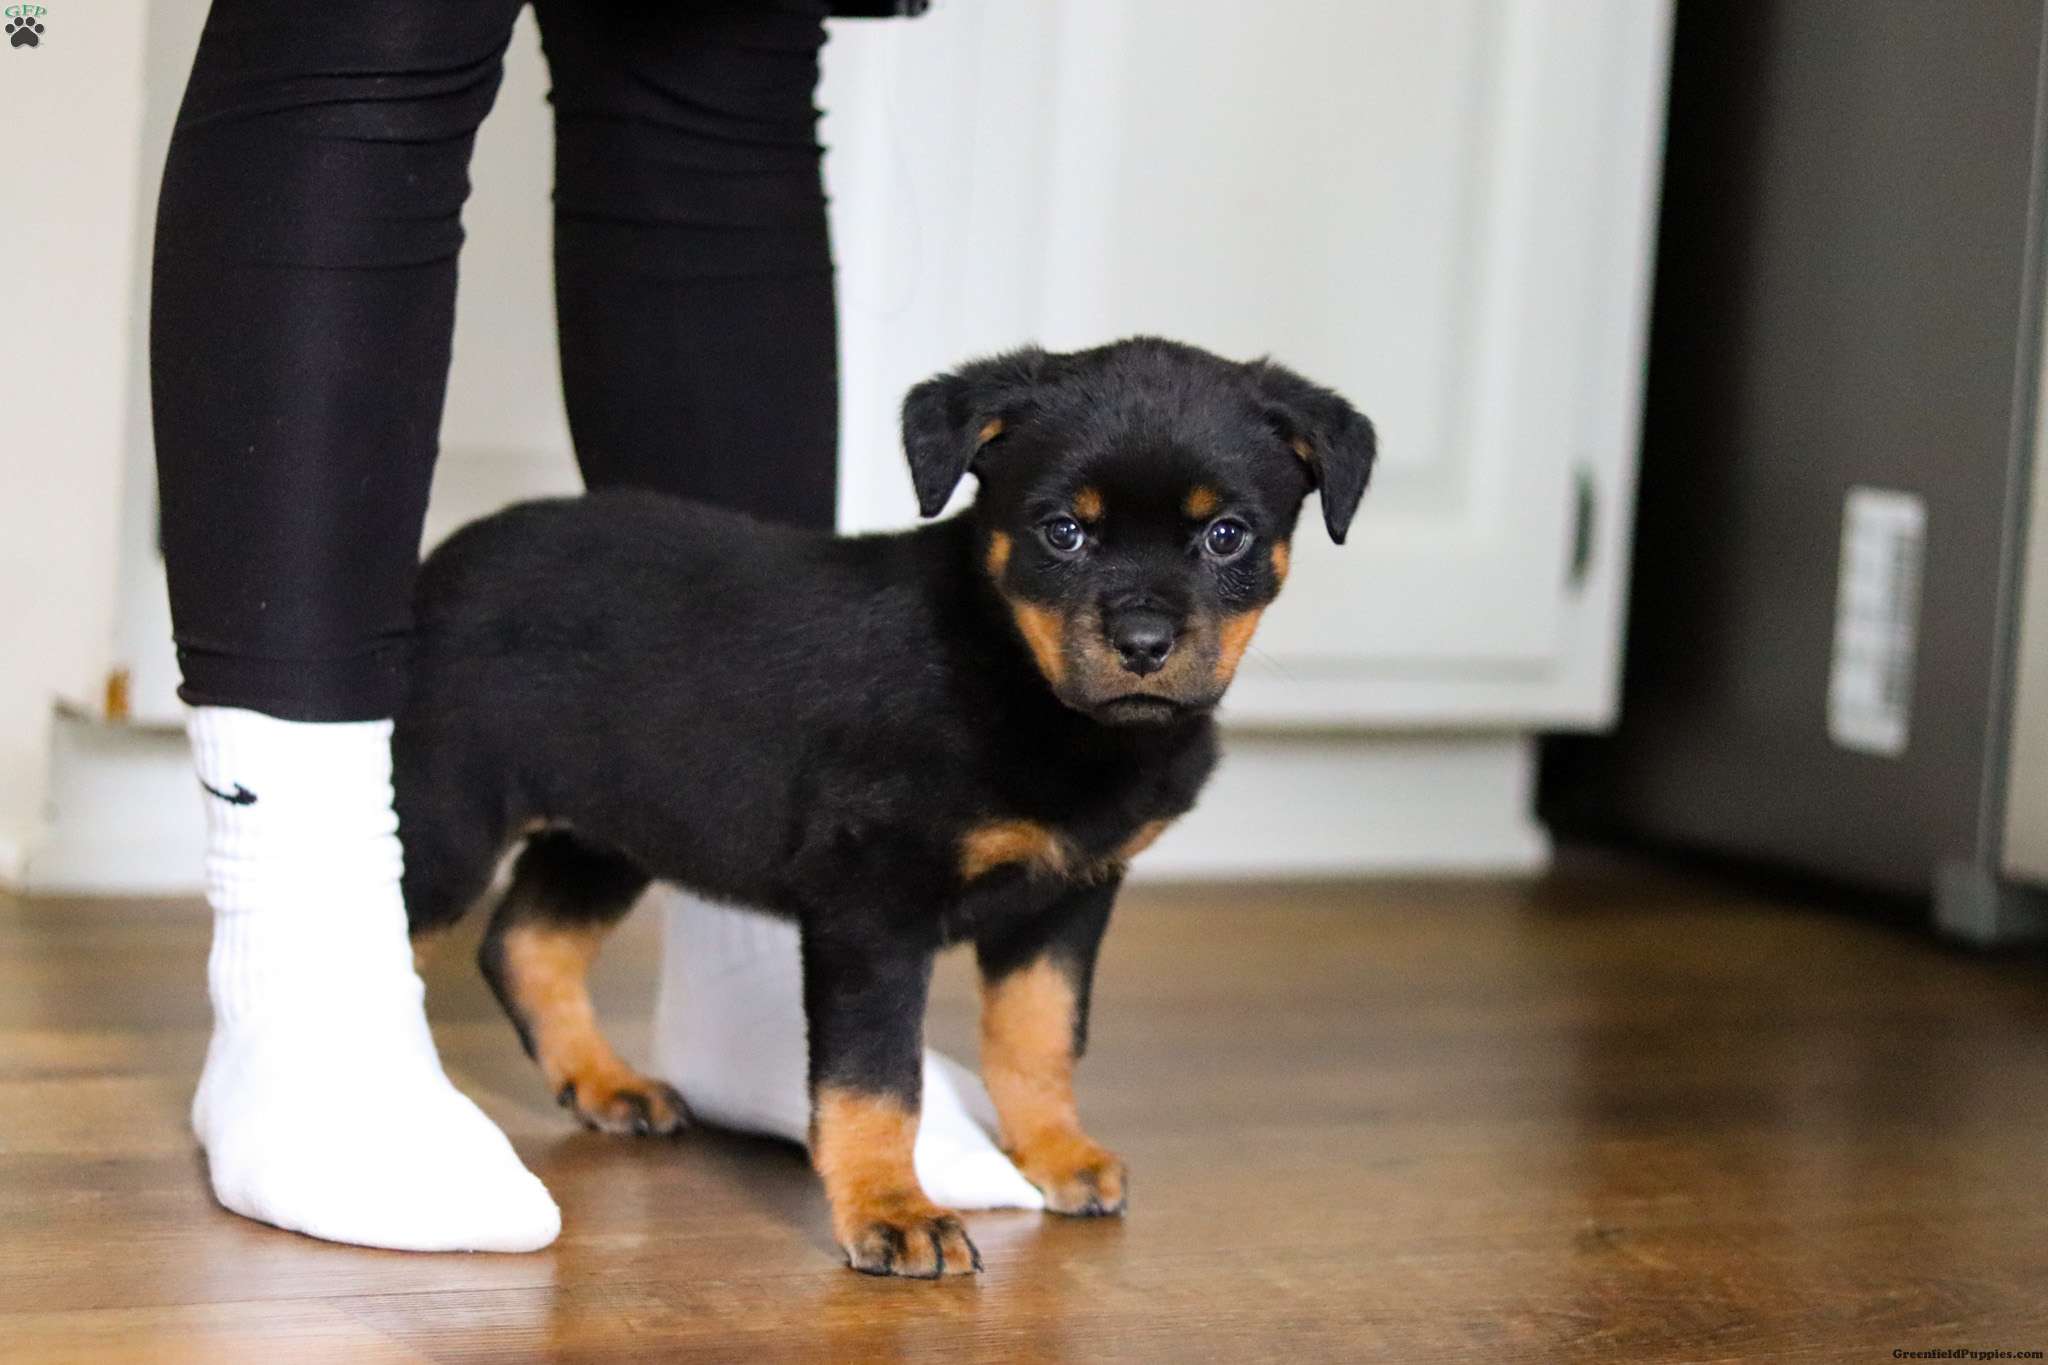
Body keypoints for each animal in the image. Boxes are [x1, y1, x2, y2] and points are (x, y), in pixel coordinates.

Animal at [395, 336, 1375, 1277]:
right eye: (1062, 532)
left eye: (1227, 535)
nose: (1142, 642)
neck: (1026, 688)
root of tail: (433, 571)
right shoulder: (873, 900)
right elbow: (874, 1079)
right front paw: (892, 1214)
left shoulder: (1067, 899)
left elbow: (1040, 1034)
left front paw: (1054, 1153)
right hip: (446, 817)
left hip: (610, 825)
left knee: (526, 943)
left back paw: (605, 1083)